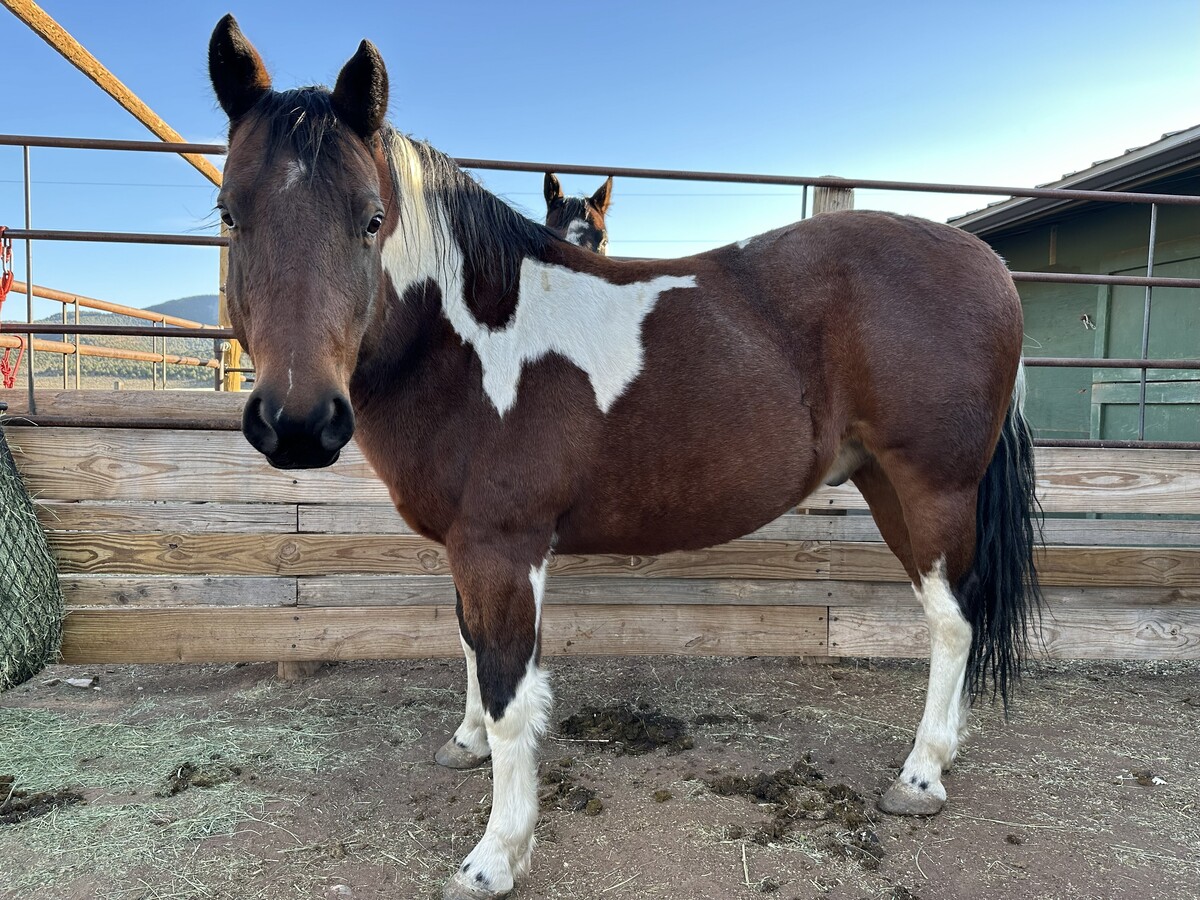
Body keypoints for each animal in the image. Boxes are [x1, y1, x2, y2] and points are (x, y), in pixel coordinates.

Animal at [208, 16, 1041, 900]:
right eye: (229, 213)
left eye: (371, 219)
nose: (299, 422)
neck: (468, 344)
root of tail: (990, 265)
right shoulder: (466, 550)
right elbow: (470, 648)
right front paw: (465, 744)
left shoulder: (503, 548)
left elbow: (509, 689)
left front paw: (497, 854)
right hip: (884, 482)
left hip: (932, 487)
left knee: (953, 623)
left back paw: (922, 775)